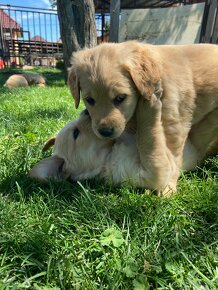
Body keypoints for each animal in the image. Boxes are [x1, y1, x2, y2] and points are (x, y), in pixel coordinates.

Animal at [68, 40, 218, 195]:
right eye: (89, 100)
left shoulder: (175, 125)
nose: (105, 132)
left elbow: (174, 155)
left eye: (120, 98)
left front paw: (168, 187)